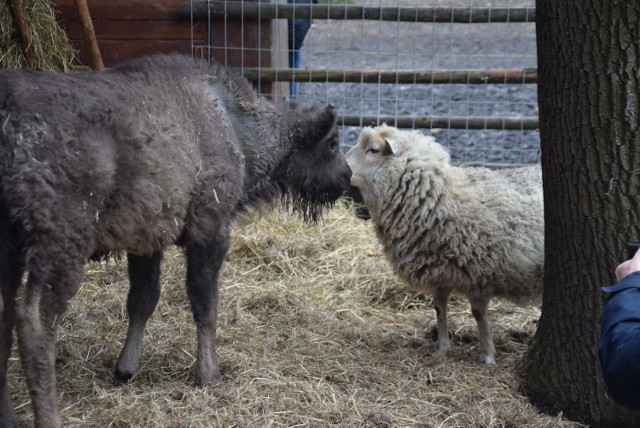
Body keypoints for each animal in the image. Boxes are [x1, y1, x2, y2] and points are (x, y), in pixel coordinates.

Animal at [0, 54, 350, 428]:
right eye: (332, 142)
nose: (347, 178)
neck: (234, 123)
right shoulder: (209, 230)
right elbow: (205, 303)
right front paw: (208, 374)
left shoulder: (146, 243)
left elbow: (143, 300)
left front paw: (126, 369)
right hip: (60, 244)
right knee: (35, 321)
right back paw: (50, 417)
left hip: (10, 249)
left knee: (4, 319)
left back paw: (7, 417)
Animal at [348, 123, 544, 364]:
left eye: (373, 150)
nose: (342, 166)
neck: (438, 197)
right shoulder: (438, 270)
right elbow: (439, 308)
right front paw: (442, 349)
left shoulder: (478, 272)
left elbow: (478, 314)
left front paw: (488, 355)